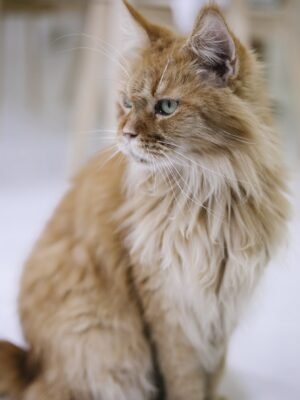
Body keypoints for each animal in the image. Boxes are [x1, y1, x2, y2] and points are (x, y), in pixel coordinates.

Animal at [0, 0, 290, 400]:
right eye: (125, 103)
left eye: (166, 107)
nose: (125, 134)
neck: (210, 193)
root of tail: (31, 362)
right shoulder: (168, 300)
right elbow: (185, 380)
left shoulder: (222, 303)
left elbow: (213, 373)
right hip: (101, 343)